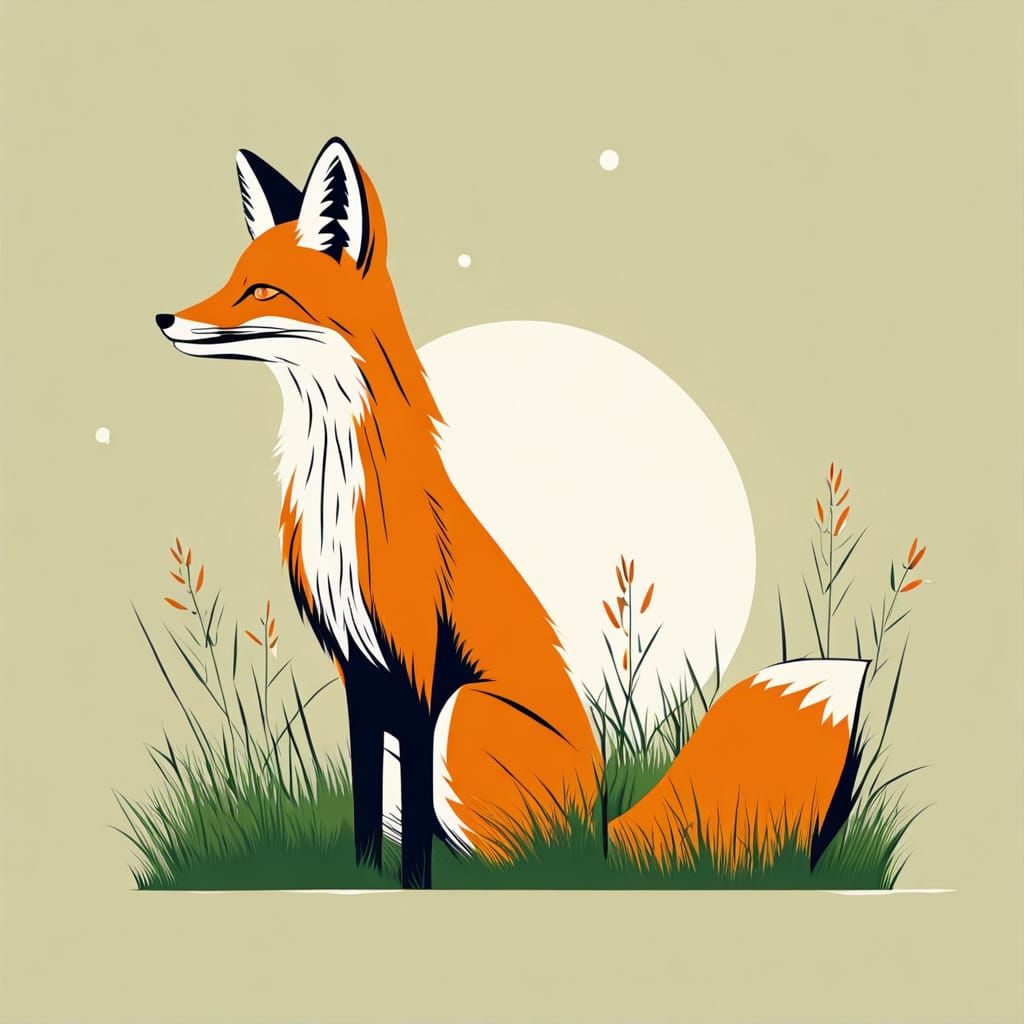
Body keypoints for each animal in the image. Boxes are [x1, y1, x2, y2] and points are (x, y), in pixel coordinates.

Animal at [156, 137, 866, 888]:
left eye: (261, 290)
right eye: (230, 277)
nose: (164, 319)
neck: (337, 492)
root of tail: (601, 831)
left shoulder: (417, 675)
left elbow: (412, 831)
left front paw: (410, 889)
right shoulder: (358, 673)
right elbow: (365, 809)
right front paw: (362, 877)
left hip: (462, 714)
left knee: (510, 859)